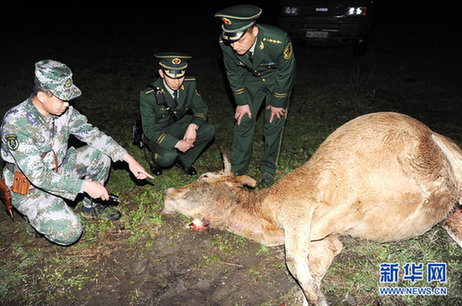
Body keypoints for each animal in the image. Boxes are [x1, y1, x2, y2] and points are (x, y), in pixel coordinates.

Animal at [161, 113, 460, 306]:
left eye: (204, 177)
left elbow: (293, 261)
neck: (263, 218)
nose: (167, 192)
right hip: (449, 217)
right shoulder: (324, 240)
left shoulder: (297, 211)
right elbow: (313, 271)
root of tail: (431, 132)